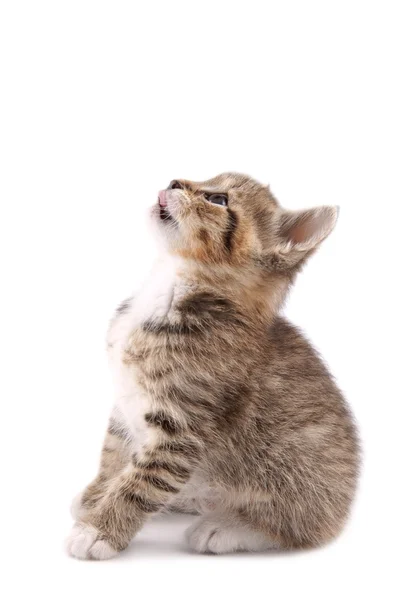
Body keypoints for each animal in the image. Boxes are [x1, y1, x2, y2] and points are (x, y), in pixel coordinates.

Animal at [65, 172, 360, 556]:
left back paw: (227, 526)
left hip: (293, 471)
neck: (171, 287)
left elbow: (140, 483)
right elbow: (113, 455)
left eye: (218, 200)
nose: (174, 182)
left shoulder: (181, 429)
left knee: (302, 526)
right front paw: (95, 496)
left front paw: (99, 530)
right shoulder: (124, 405)